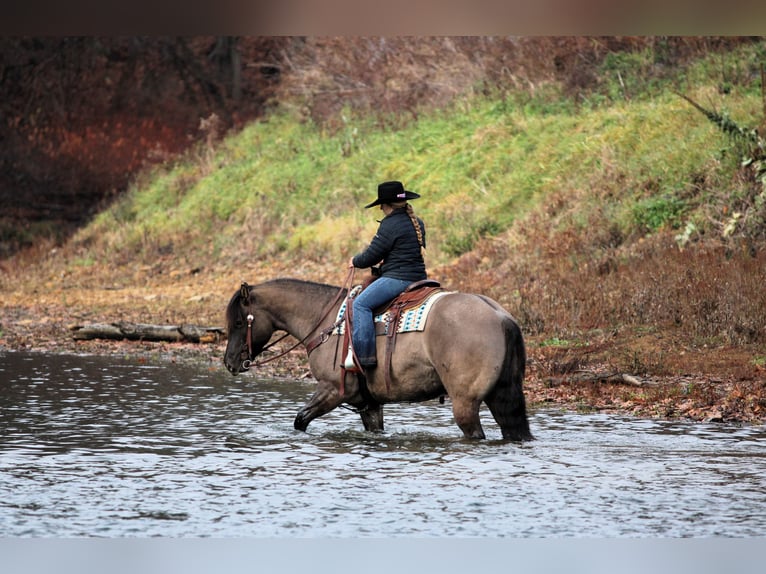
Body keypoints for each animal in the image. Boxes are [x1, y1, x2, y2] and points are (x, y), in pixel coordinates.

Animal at [223, 278, 533, 441]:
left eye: (239, 322)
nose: (229, 363)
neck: (325, 320)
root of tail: (499, 315)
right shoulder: (369, 404)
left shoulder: (332, 390)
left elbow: (300, 420)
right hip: (501, 396)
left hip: (466, 403)